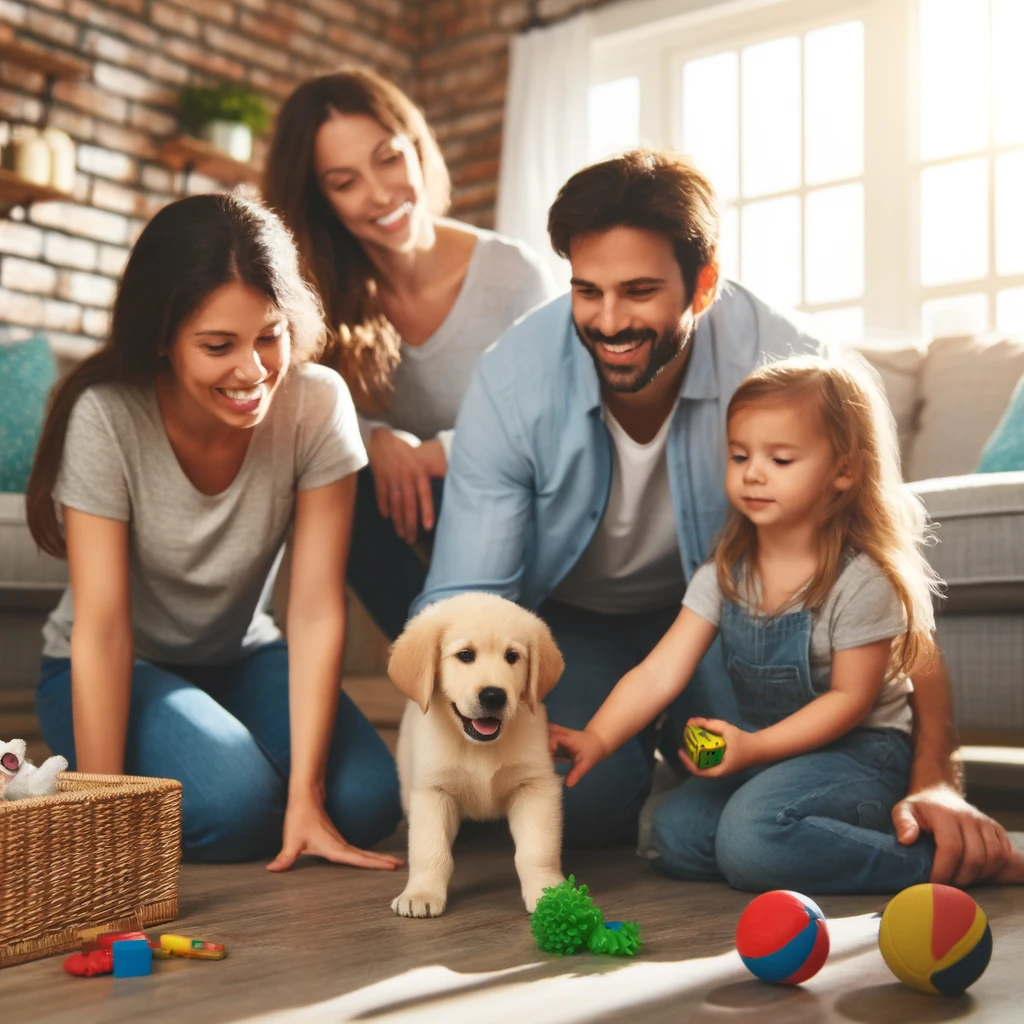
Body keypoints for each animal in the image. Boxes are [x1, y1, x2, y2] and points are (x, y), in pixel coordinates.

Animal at [389, 593, 569, 921]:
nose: (494, 695)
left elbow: (537, 850)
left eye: (512, 656)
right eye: (465, 655)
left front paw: (548, 892)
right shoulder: (432, 791)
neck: (478, 746)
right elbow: (430, 850)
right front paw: (421, 893)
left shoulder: (536, 787)